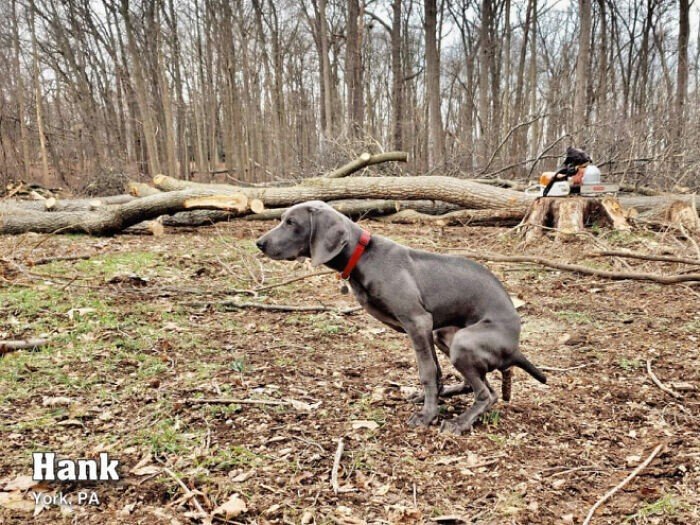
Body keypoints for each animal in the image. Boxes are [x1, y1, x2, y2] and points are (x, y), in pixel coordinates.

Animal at [258, 199, 548, 432]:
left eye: (291, 222)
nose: (258, 243)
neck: (364, 256)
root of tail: (514, 347)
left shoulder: (417, 322)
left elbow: (427, 371)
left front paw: (427, 415)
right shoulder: (426, 329)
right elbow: (436, 371)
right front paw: (432, 400)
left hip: (464, 341)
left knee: (487, 394)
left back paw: (459, 422)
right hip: (444, 335)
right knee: (482, 385)